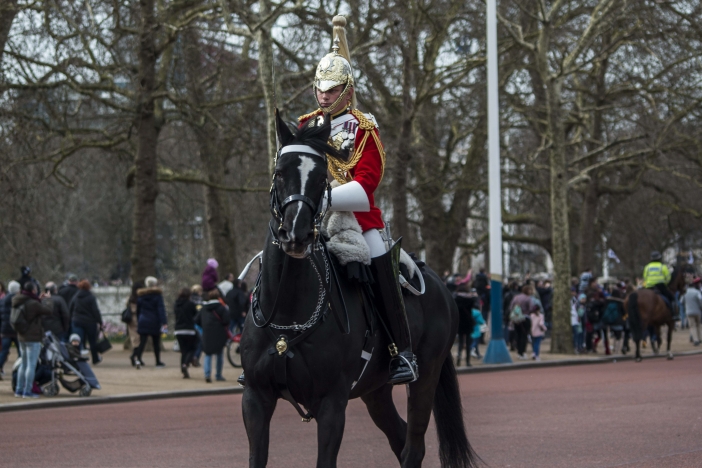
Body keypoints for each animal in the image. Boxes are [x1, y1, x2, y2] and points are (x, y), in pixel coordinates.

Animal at [241, 111, 478, 466]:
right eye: (279, 172)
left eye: (320, 177)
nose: (296, 235)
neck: (288, 311)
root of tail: (439, 283)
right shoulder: (255, 399)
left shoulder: (331, 404)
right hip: (375, 390)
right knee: (400, 438)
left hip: (426, 376)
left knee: (414, 445)